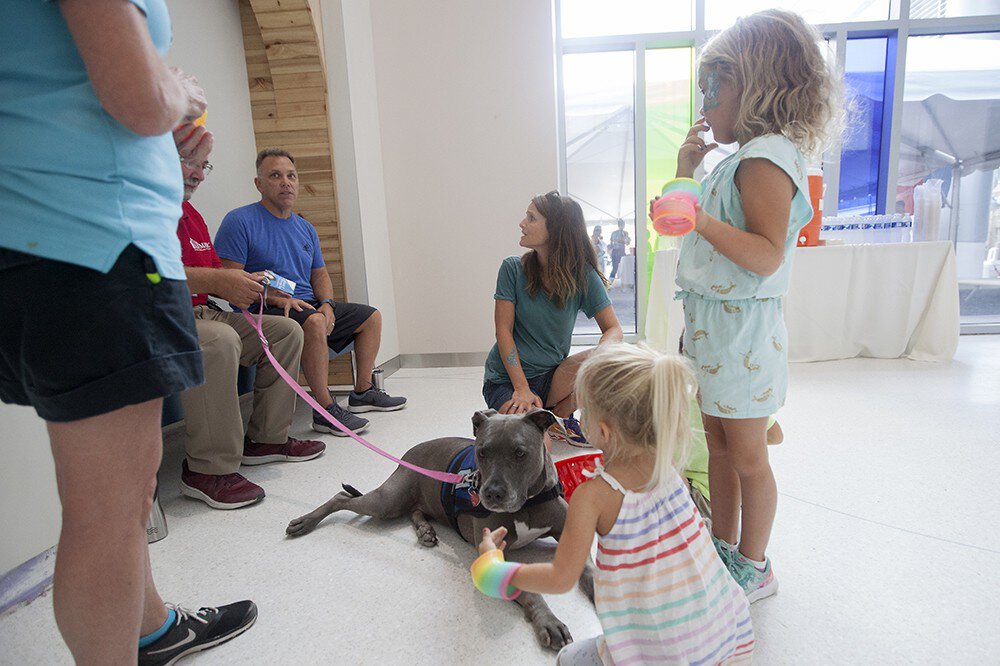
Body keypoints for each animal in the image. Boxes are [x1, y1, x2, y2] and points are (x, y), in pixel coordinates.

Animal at [286, 408, 594, 650]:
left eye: (520, 453)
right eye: (482, 452)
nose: (491, 494)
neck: (527, 503)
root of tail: (410, 452)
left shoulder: (569, 533)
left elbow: (590, 569)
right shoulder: (493, 554)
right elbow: (530, 592)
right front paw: (548, 621)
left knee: (414, 510)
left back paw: (425, 531)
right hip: (387, 501)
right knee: (342, 497)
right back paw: (304, 522)